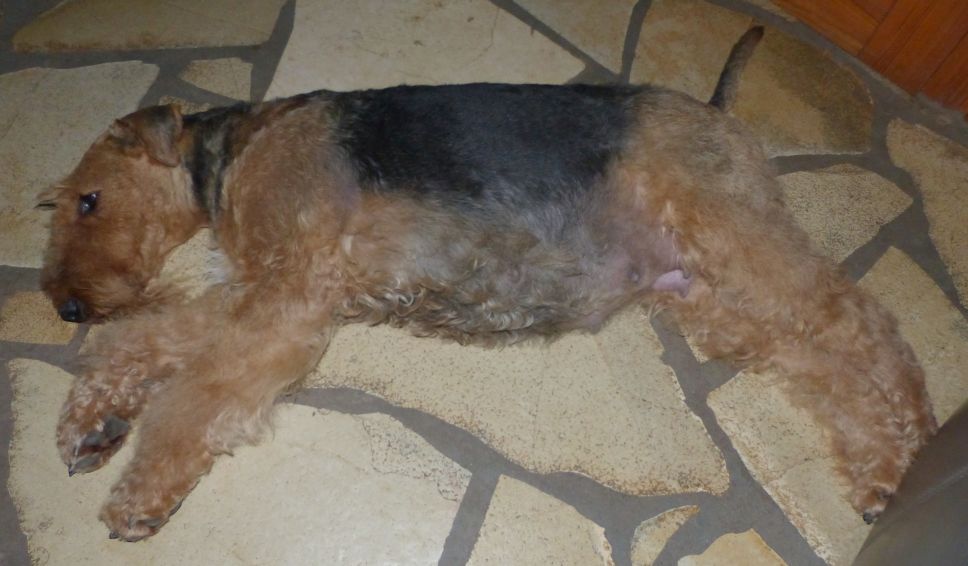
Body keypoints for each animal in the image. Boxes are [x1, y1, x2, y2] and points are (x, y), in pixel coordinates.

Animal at [38, 27, 936, 541]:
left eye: (88, 199)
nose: (66, 305)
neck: (234, 156)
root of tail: (720, 111)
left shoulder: (288, 300)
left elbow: (195, 397)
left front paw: (138, 495)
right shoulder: (261, 288)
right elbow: (148, 342)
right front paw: (91, 420)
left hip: (740, 246)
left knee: (866, 325)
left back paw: (904, 463)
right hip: (716, 298)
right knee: (818, 360)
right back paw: (877, 470)